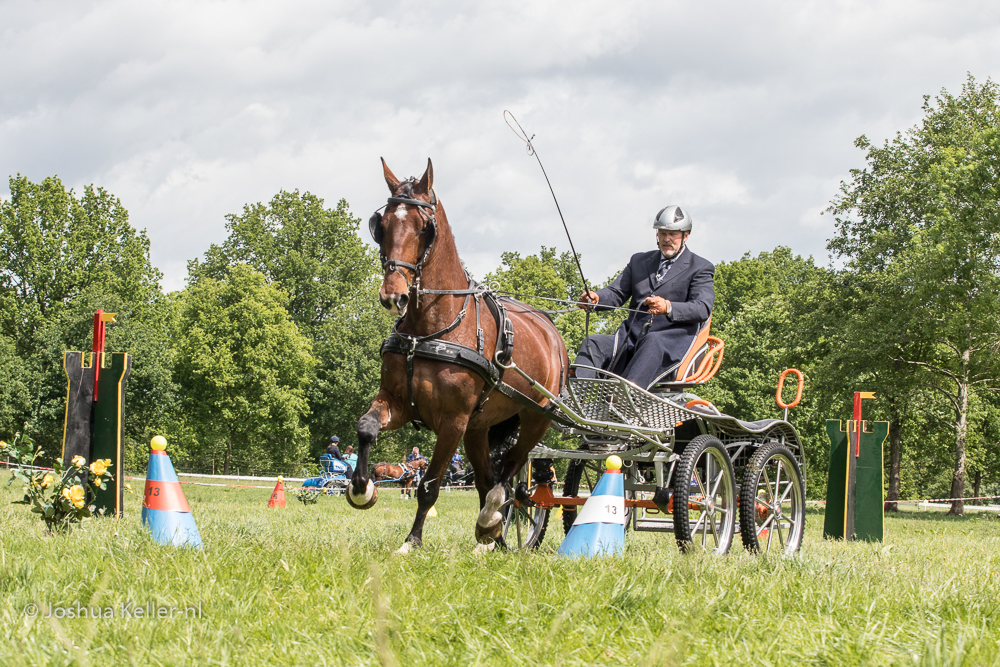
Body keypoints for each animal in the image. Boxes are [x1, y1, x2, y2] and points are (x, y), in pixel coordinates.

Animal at [346, 158, 568, 552]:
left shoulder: (453, 421)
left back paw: (494, 517)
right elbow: (367, 427)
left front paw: (411, 541)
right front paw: (361, 488)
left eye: (425, 228)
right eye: (380, 224)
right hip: (479, 428)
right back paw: (490, 539)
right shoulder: (398, 401)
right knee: (487, 478)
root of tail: (551, 331)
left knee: (510, 473)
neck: (430, 328)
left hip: (535, 417)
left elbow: (429, 486)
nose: (393, 295)